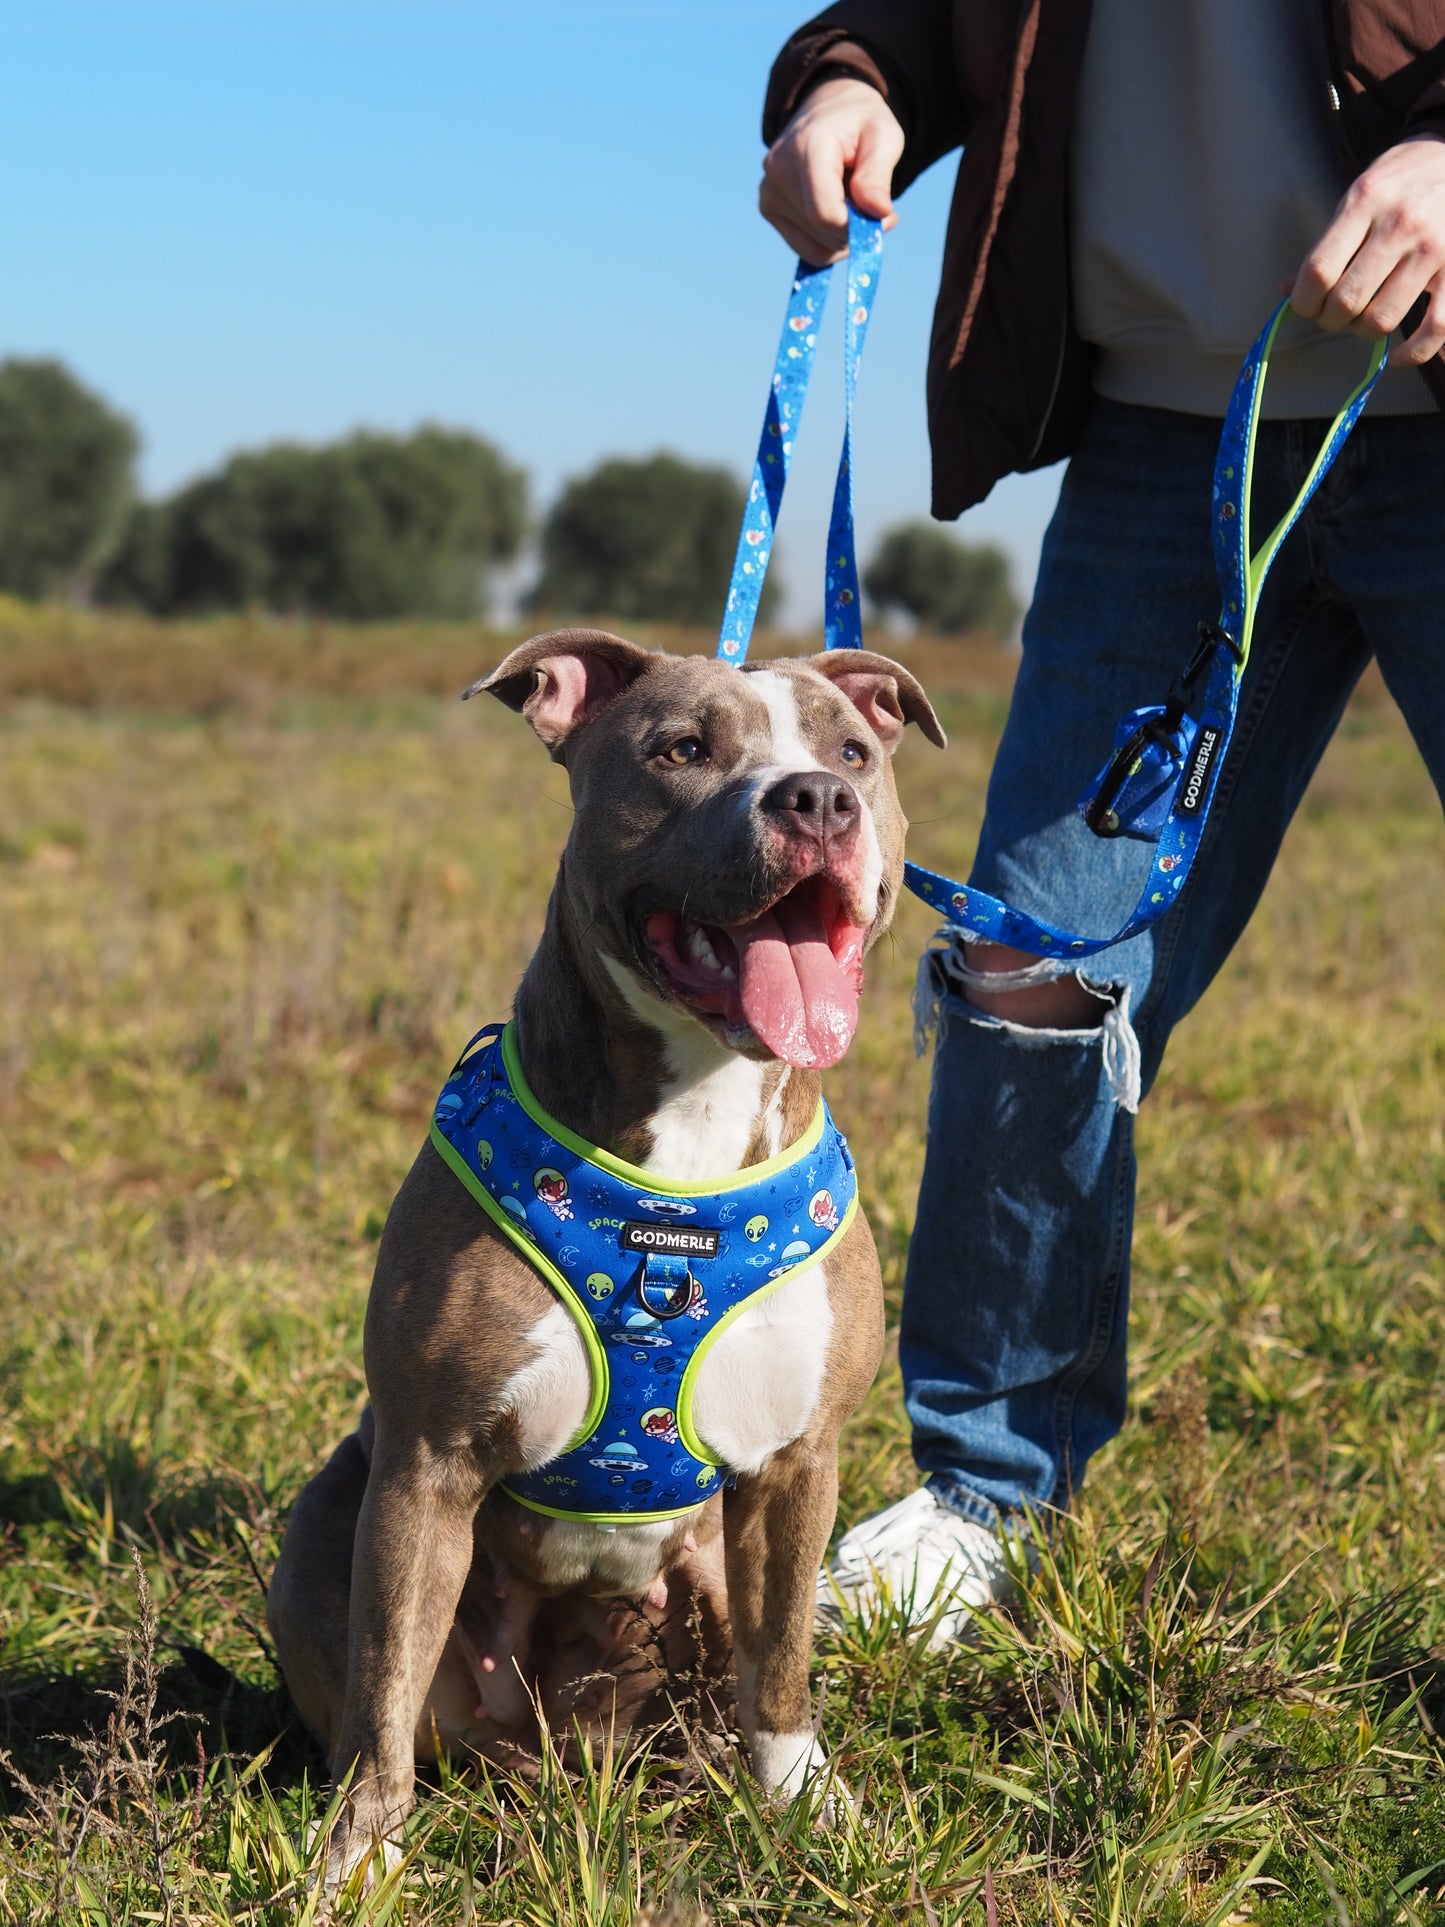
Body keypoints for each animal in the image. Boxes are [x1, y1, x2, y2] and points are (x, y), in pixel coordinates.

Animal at [269, 632, 951, 1880]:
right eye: (682, 749)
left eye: (852, 753)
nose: (816, 799)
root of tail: (551, 1737)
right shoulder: (427, 1465)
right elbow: (383, 1689)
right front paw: (356, 1859)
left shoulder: (799, 1465)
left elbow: (781, 1659)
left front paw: (805, 1804)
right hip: (330, 1524)